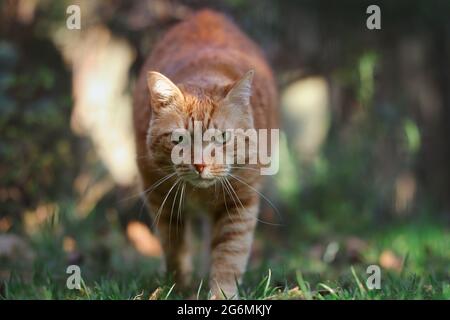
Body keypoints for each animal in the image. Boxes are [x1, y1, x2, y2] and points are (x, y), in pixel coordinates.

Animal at [132, 10, 278, 300]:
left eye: (222, 138)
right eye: (179, 139)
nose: (199, 164)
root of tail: (206, 13)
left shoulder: (240, 203)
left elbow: (229, 256)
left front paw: (221, 294)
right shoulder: (161, 199)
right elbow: (175, 248)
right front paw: (179, 288)